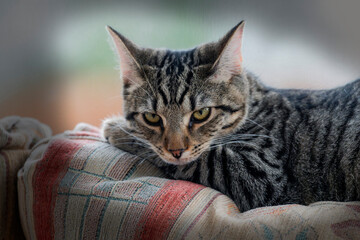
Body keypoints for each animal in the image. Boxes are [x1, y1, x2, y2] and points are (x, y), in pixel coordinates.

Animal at [102, 21, 360, 211]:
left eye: (201, 113)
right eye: (152, 118)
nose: (176, 151)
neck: (255, 104)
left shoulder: (263, 176)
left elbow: (206, 159)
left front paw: (117, 129)